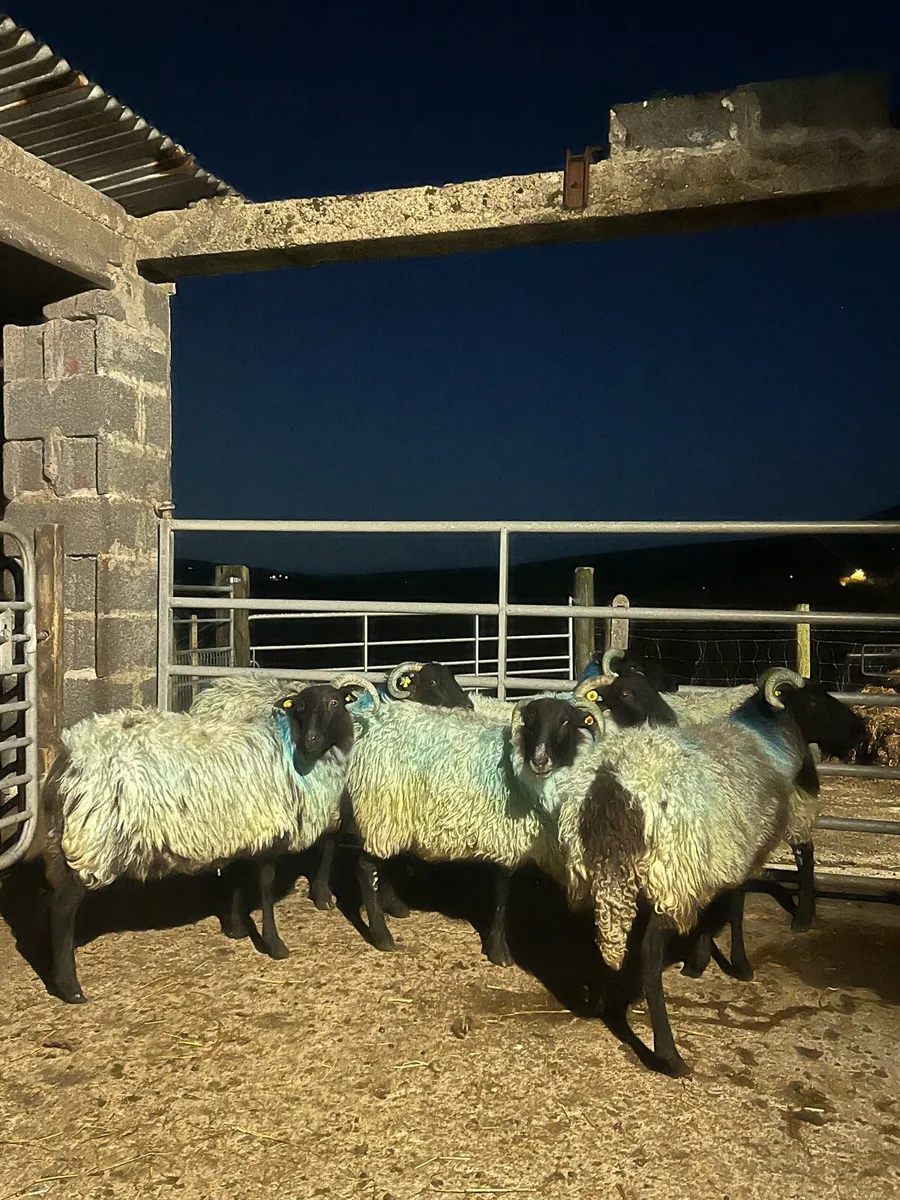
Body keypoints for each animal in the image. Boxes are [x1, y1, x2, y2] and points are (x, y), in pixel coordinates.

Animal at [38, 684, 355, 1003]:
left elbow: (236, 879)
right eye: (300, 706)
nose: (312, 740)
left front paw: (236, 928)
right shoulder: (270, 828)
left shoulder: (240, 829)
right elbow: (265, 888)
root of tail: (69, 757)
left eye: (335, 702)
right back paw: (70, 987)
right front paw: (275, 945)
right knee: (62, 908)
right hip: (91, 839)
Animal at [341, 685, 603, 965]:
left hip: (392, 818)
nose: (540, 760)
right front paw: (499, 951)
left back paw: (395, 906)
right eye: (531, 722)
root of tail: (368, 725)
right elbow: (503, 892)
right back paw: (382, 937)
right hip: (381, 810)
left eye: (565, 721)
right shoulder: (506, 835)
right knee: (365, 868)